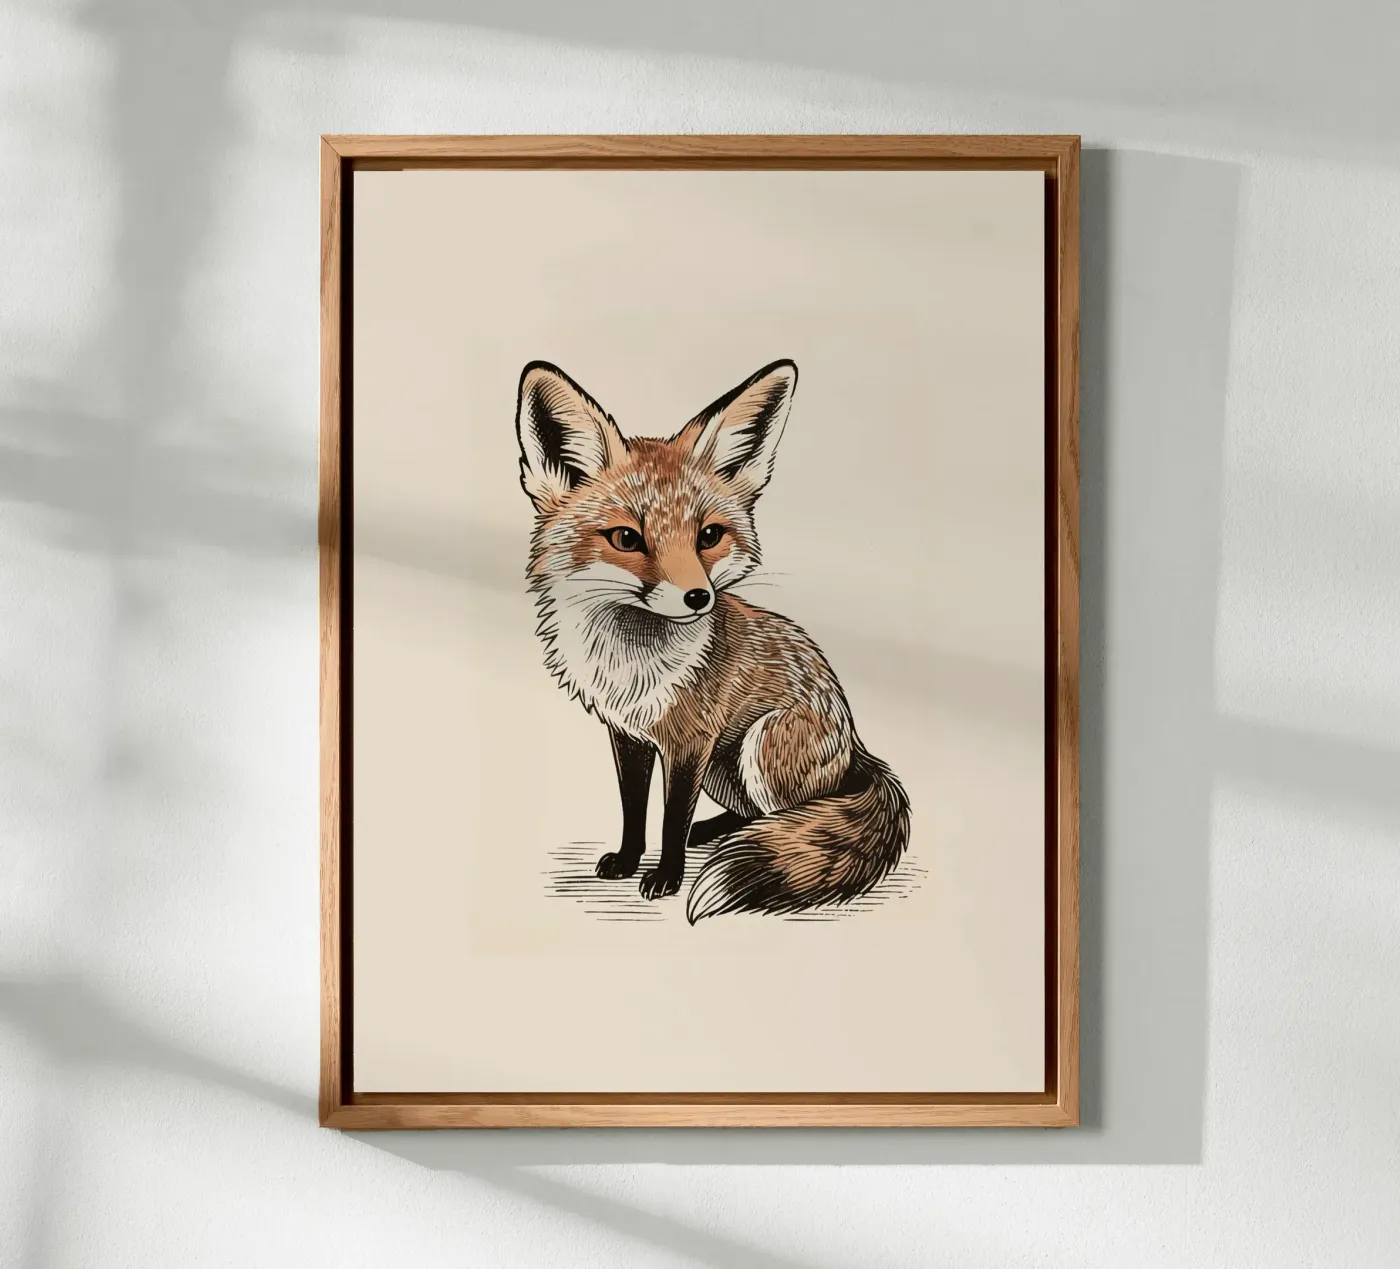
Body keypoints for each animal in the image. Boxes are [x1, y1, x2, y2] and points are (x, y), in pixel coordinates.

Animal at [515, 357, 910, 922]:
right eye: (627, 539)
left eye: (708, 536)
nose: (698, 597)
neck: (631, 664)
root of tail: (857, 745)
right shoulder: (629, 735)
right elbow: (634, 808)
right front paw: (628, 861)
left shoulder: (691, 741)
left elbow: (671, 818)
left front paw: (666, 877)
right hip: (728, 770)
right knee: (754, 815)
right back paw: (716, 832)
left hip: (758, 745)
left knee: (795, 817)